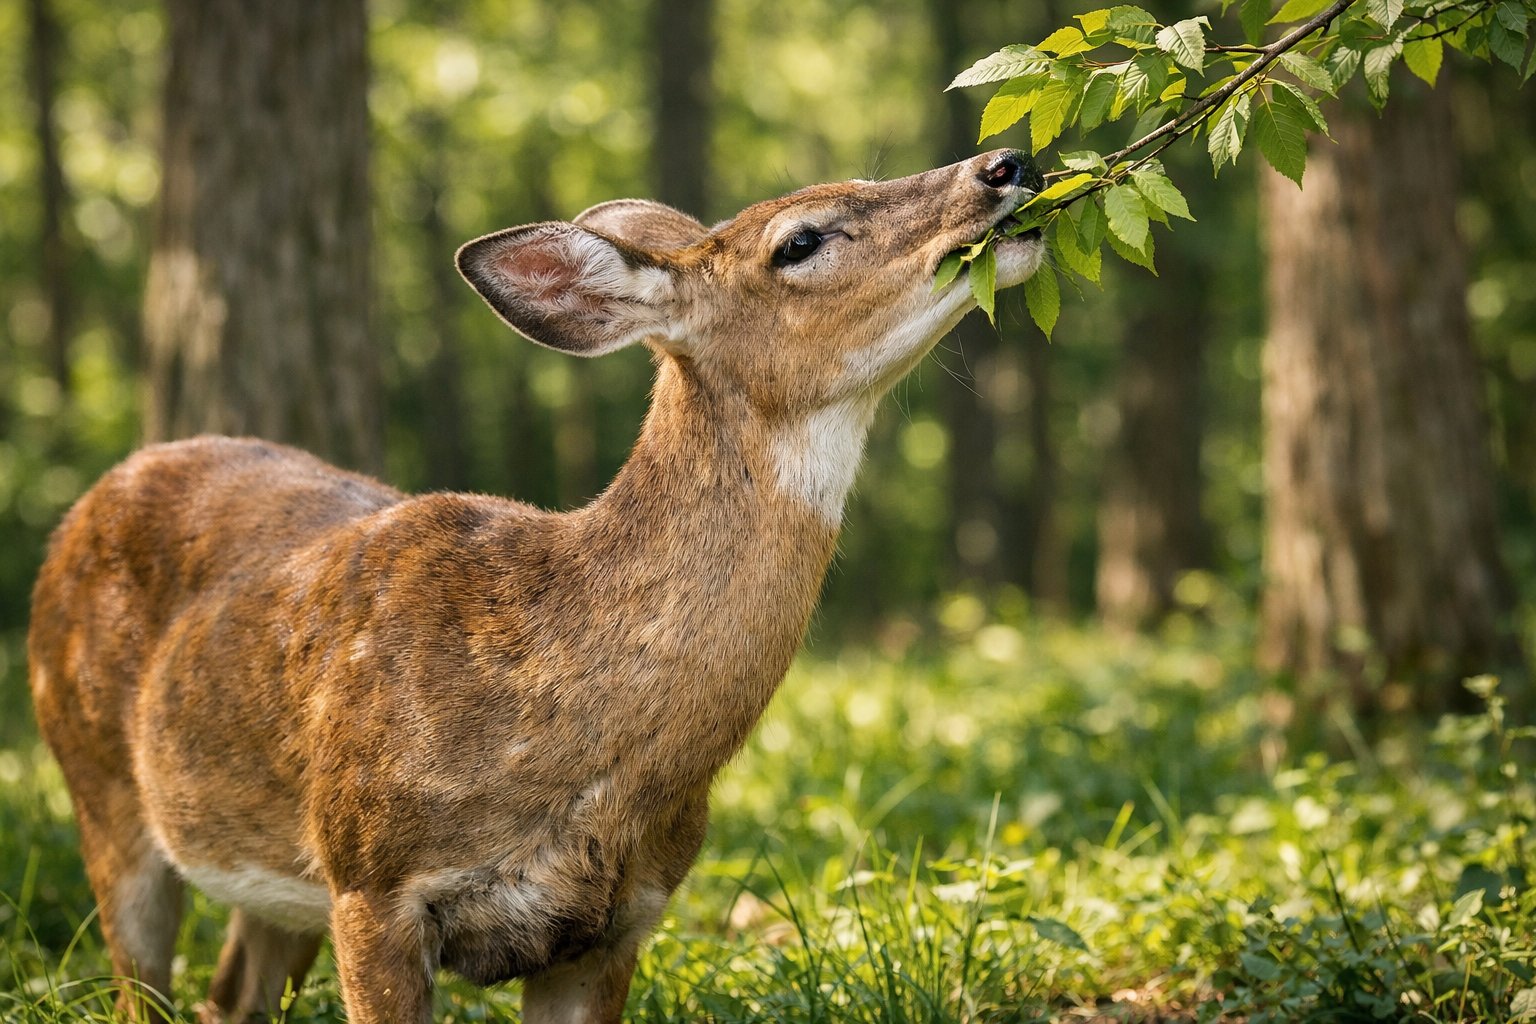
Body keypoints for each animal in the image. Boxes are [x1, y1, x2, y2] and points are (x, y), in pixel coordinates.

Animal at [28, 148, 1045, 1024]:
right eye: (799, 240)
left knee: (228, 995)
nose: (1005, 163)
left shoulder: (619, 922)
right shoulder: (370, 880)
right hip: (99, 782)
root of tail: (86, 503)